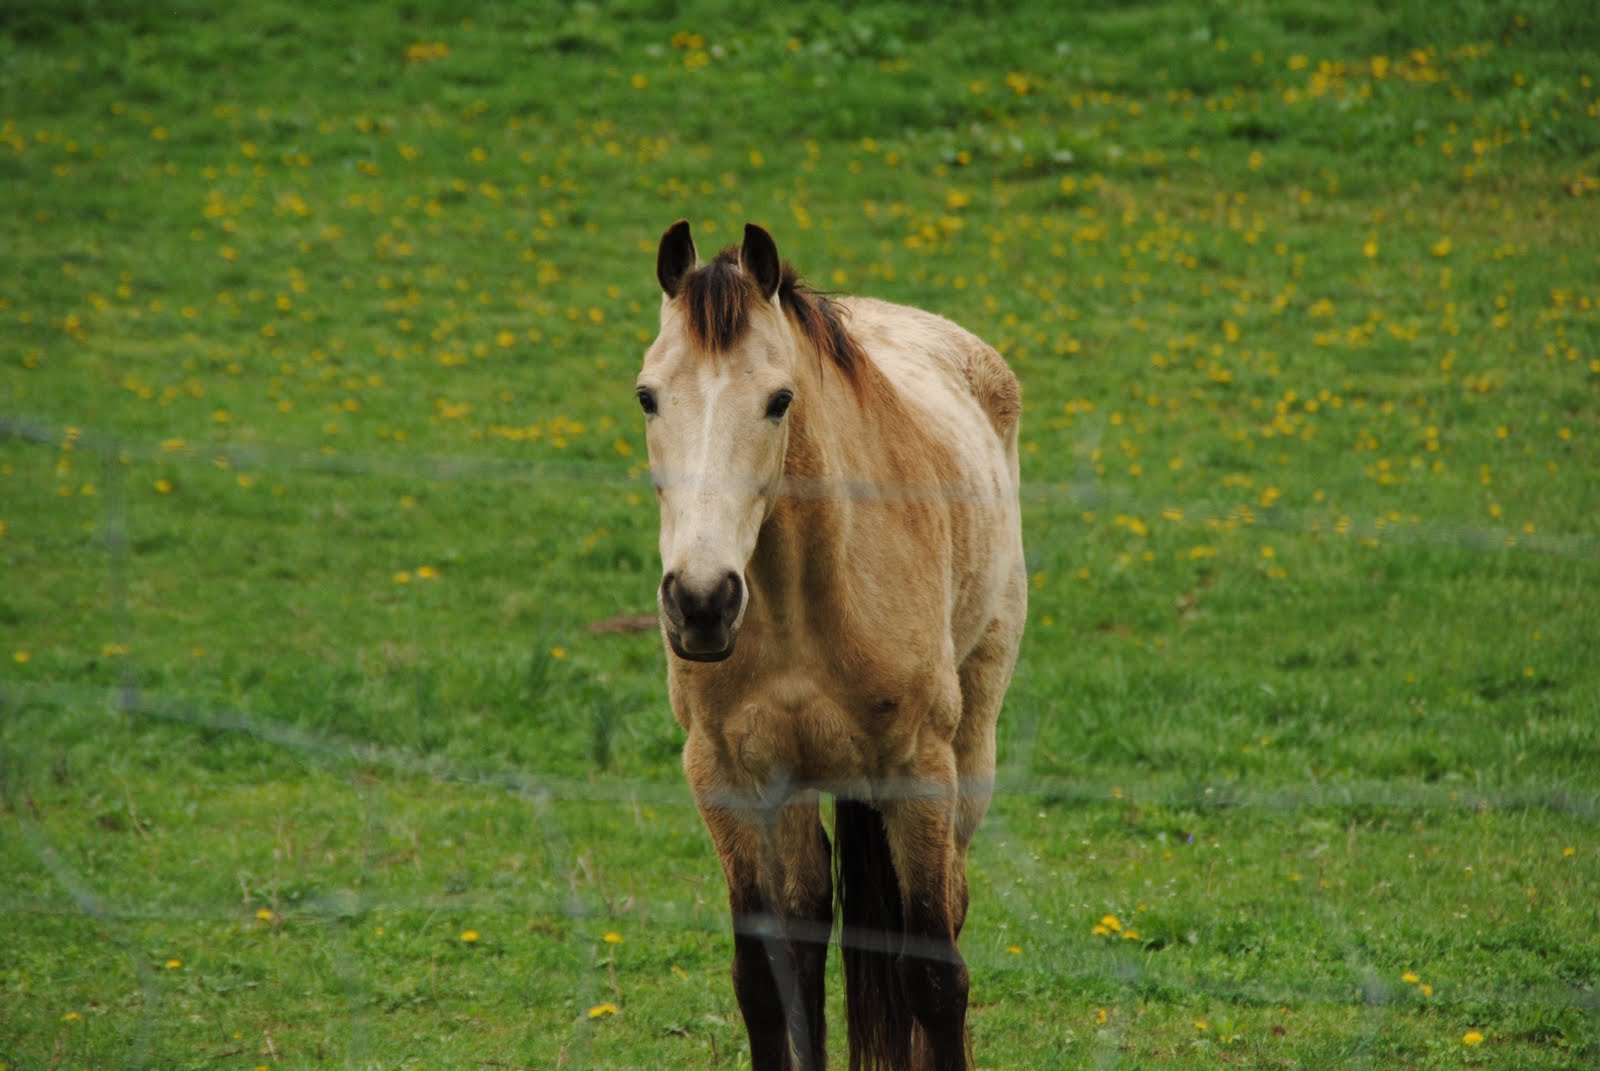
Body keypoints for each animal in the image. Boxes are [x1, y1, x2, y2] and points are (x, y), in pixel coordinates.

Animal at [636, 220, 1025, 1071]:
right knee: (808, 933)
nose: (701, 601)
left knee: (948, 910)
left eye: (778, 400)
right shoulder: (726, 776)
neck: (796, 608)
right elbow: (763, 976)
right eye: (647, 396)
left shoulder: (919, 774)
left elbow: (935, 975)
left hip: (969, 755)